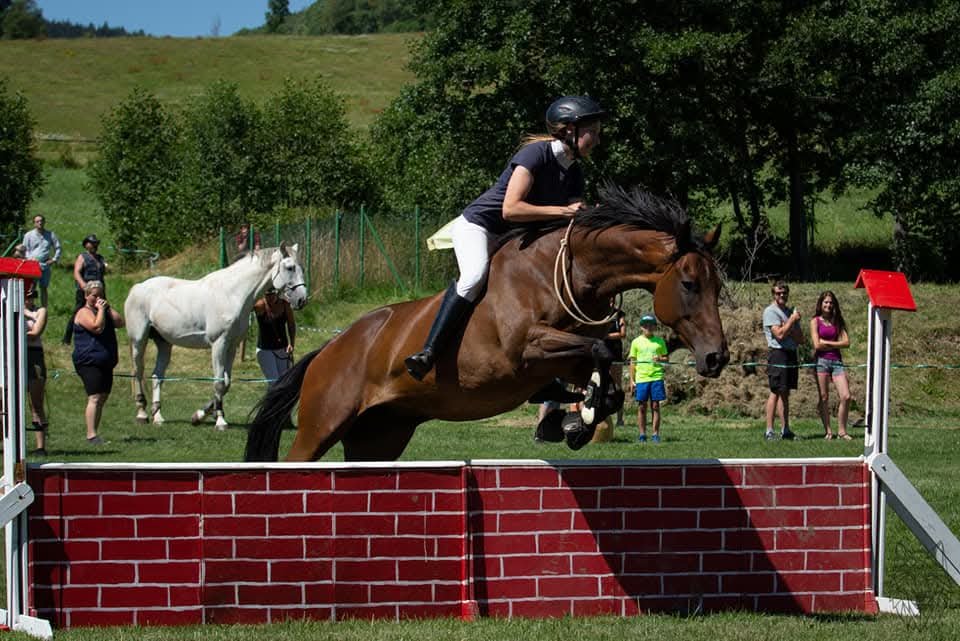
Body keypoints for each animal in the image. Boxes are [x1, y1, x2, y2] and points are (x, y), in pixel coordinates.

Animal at [123, 244, 304, 430]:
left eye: (301, 268)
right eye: (290, 268)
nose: (301, 300)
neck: (232, 294)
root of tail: (137, 287)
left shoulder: (232, 346)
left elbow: (226, 383)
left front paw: (199, 416)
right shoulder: (218, 344)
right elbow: (218, 382)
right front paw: (220, 421)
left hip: (164, 343)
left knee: (157, 376)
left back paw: (158, 416)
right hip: (138, 341)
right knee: (138, 372)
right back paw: (142, 414)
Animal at [246, 185, 728, 460]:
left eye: (717, 285)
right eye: (689, 284)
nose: (716, 358)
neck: (569, 273)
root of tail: (328, 350)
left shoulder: (565, 355)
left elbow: (604, 365)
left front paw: (576, 422)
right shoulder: (526, 350)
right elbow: (599, 351)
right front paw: (577, 417)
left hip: (379, 436)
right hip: (322, 424)